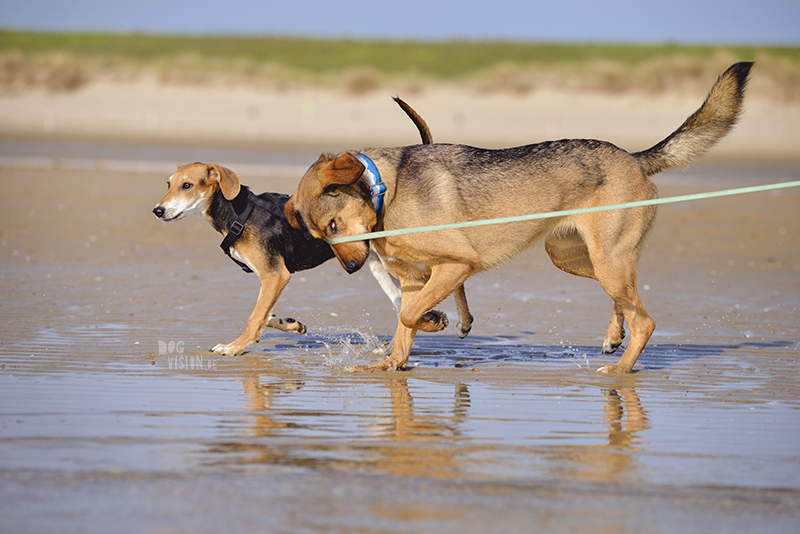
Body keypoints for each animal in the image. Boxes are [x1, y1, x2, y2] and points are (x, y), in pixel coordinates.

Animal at [153, 97, 472, 356]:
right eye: (168, 184)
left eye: (187, 185)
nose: (158, 210)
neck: (236, 214)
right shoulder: (272, 278)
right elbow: (265, 313)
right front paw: (290, 324)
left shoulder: (275, 275)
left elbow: (255, 316)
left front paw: (234, 347)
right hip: (376, 263)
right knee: (403, 301)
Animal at [284, 61, 752, 372]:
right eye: (320, 236)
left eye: (332, 226)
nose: (350, 269)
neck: (386, 191)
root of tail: (633, 158)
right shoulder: (419, 277)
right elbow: (407, 320)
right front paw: (393, 364)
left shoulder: (457, 265)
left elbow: (408, 315)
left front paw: (431, 328)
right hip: (575, 257)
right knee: (627, 304)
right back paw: (612, 338)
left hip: (606, 260)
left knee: (647, 320)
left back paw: (620, 371)